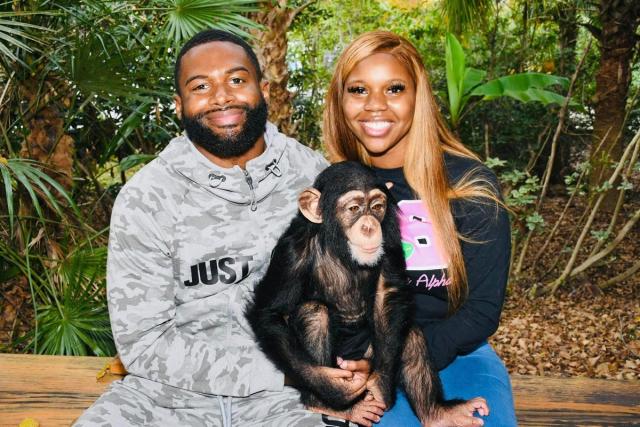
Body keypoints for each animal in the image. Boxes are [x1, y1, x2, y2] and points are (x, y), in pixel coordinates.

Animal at [248, 162, 488, 426]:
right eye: (354, 208)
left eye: (377, 207)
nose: (369, 225)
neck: (340, 248)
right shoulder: (292, 252)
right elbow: (269, 313)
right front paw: (330, 386)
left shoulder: (391, 237)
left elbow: (388, 291)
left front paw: (381, 383)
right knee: (313, 312)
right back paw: (330, 404)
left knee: (409, 333)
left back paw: (437, 413)